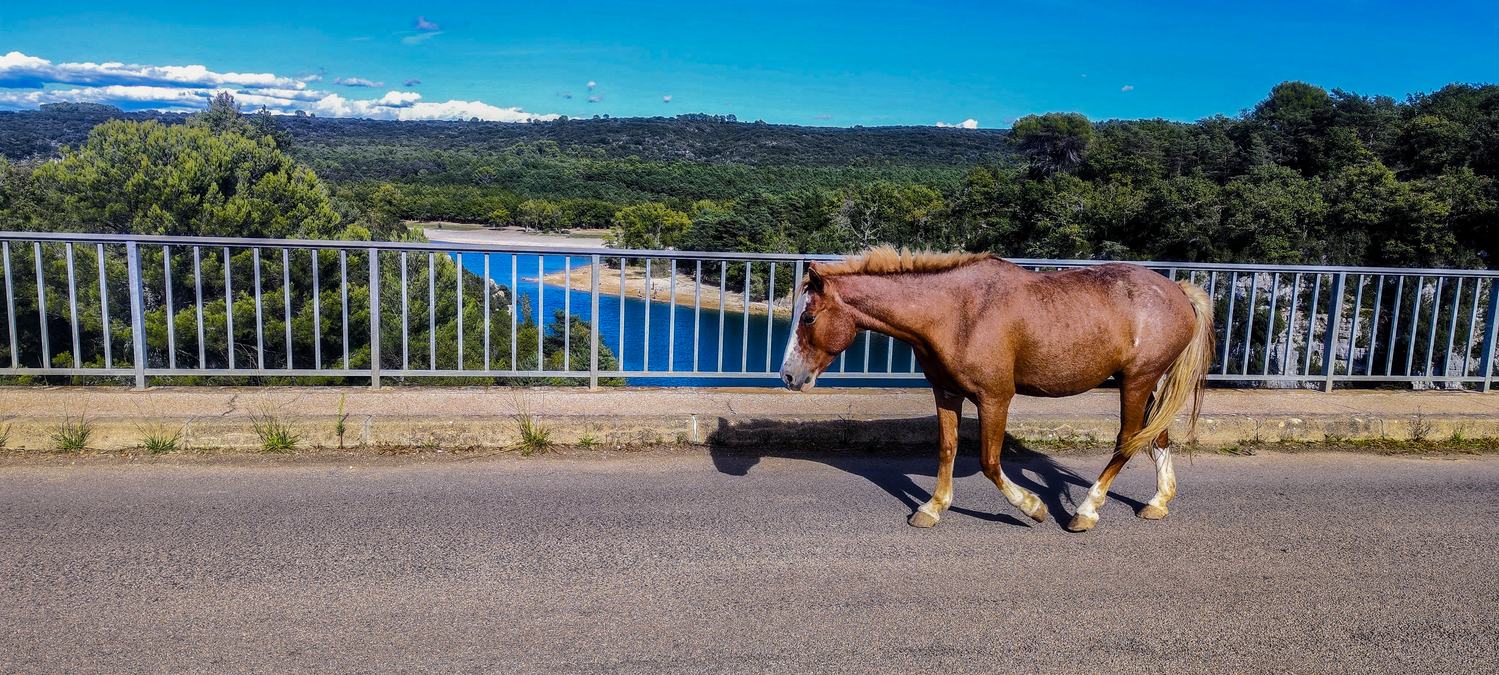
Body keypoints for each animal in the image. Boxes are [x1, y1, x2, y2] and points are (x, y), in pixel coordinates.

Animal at [779, 244, 1211, 531]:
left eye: (809, 317)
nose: (787, 376)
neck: (956, 313)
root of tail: (1179, 293)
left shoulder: (995, 397)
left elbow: (989, 462)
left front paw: (1033, 507)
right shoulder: (947, 393)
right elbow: (948, 449)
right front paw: (932, 507)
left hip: (1137, 381)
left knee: (1127, 439)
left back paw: (1086, 510)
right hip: (1147, 382)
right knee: (1157, 436)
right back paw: (1158, 501)